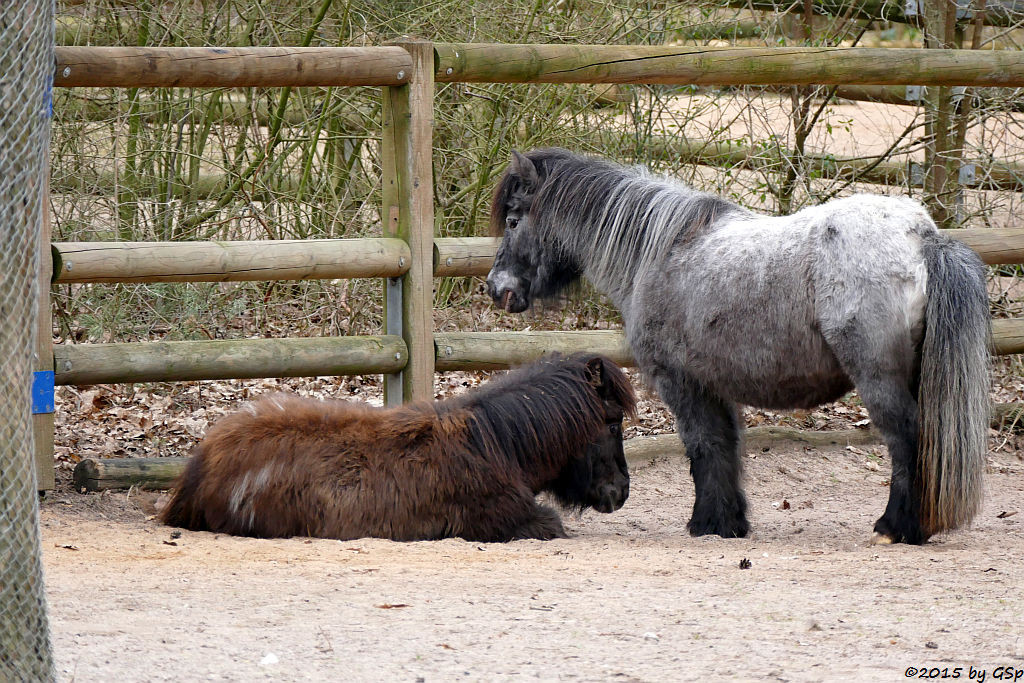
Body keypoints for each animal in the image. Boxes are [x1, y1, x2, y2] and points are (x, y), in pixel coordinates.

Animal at [487, 148, 991, 544]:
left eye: (512, 219)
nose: (496, 288)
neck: (659, 251)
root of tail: (924, 237)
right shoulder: (714, 384)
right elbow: (725, 448)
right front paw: (728, 522)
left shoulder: (680, 382)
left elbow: (702, 446)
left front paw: (705, 523)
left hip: (879, 380)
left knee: (908, 440)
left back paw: (898, 527)